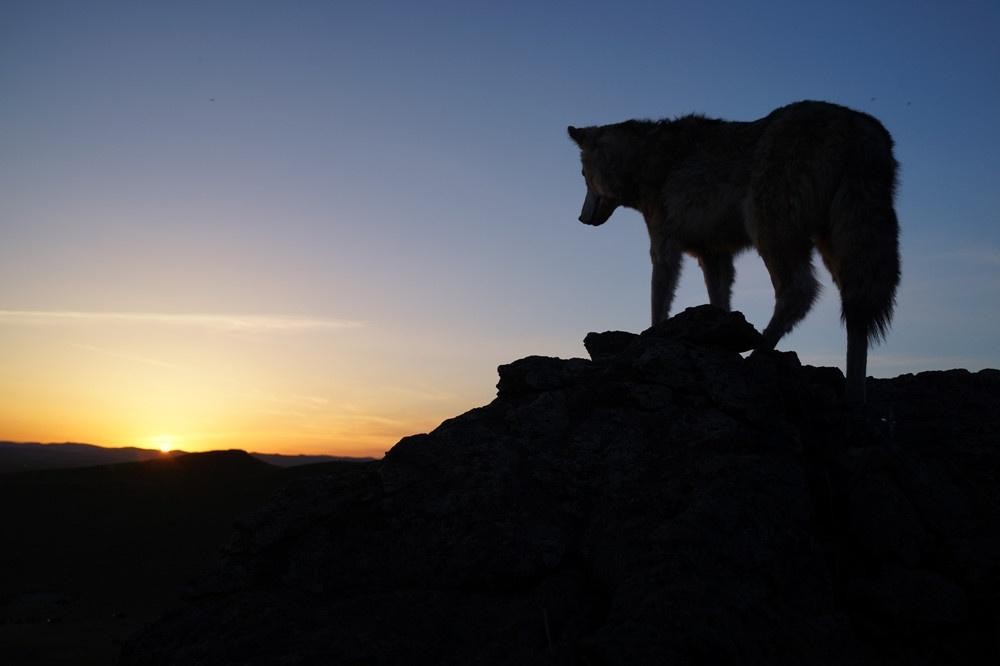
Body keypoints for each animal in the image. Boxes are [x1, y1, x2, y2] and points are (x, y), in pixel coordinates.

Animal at [568, 98, 904, 400]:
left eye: (583, 176)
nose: (581, 219)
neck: (644, 158)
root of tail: (858, 125)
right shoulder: (714, 254)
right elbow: (720, 303)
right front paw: (722, 337)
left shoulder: (665, 246)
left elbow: (658, 302)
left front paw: (653, 336)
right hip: (840, 247)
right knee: (855, 310)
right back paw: (854, 396)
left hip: (768, 229)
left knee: (800, 291)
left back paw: (759, 353)